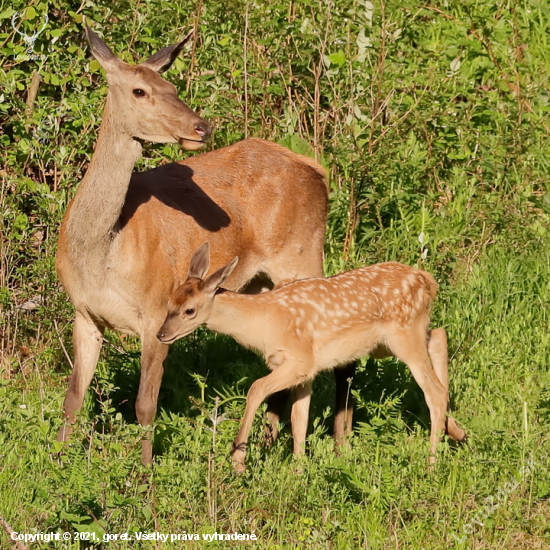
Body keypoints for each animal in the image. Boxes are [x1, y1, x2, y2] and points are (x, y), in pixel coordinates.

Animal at [56, 24, 352, 466]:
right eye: (140, 90)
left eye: (173, 85)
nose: (201, 127)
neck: (103, 252)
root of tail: (319, 171)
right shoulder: (84, 313)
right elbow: (73, 397)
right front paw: (55, 459)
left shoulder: (156, 310)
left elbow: (145, 404)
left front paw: (145, 472)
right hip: (261, 280)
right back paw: (271, 440)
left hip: (302, 254)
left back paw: (338, 444)